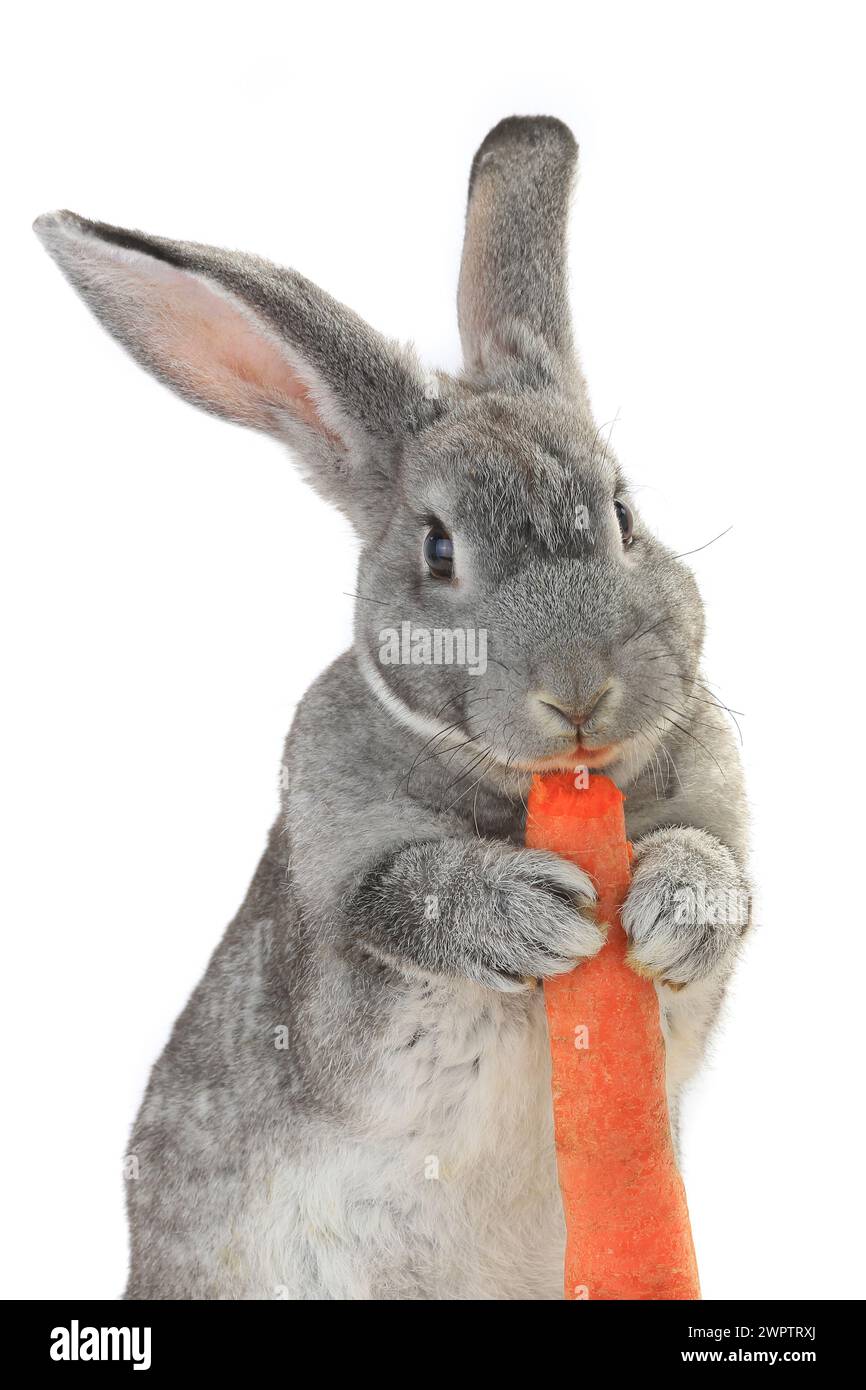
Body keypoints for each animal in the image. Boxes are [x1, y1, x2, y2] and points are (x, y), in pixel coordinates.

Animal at [35, 115, 749, 1301]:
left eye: (621, 514)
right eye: (438, 548)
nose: (579, 689)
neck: (531, 790)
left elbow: (720, 873)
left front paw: (670, 907)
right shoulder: (335, 899)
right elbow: (395, 897)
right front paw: (530, 913)